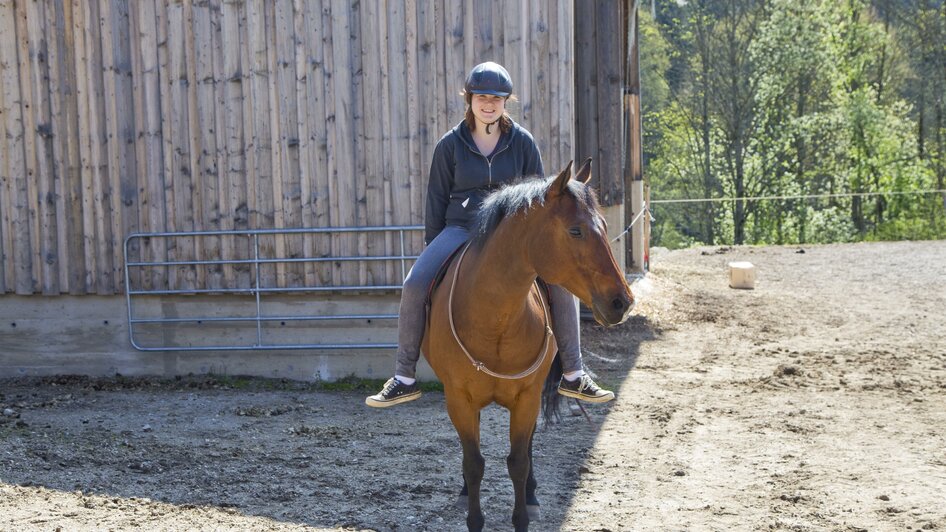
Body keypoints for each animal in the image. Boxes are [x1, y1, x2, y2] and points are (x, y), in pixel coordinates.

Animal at [422, 161, 636, 532]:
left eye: (604, 226)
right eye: (576, 231)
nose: (621, 302)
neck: (494, 318)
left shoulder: (526, 398)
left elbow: (519, 461)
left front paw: (524, 512)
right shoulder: (459, 399)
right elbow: (473, 463)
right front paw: (473, 515)